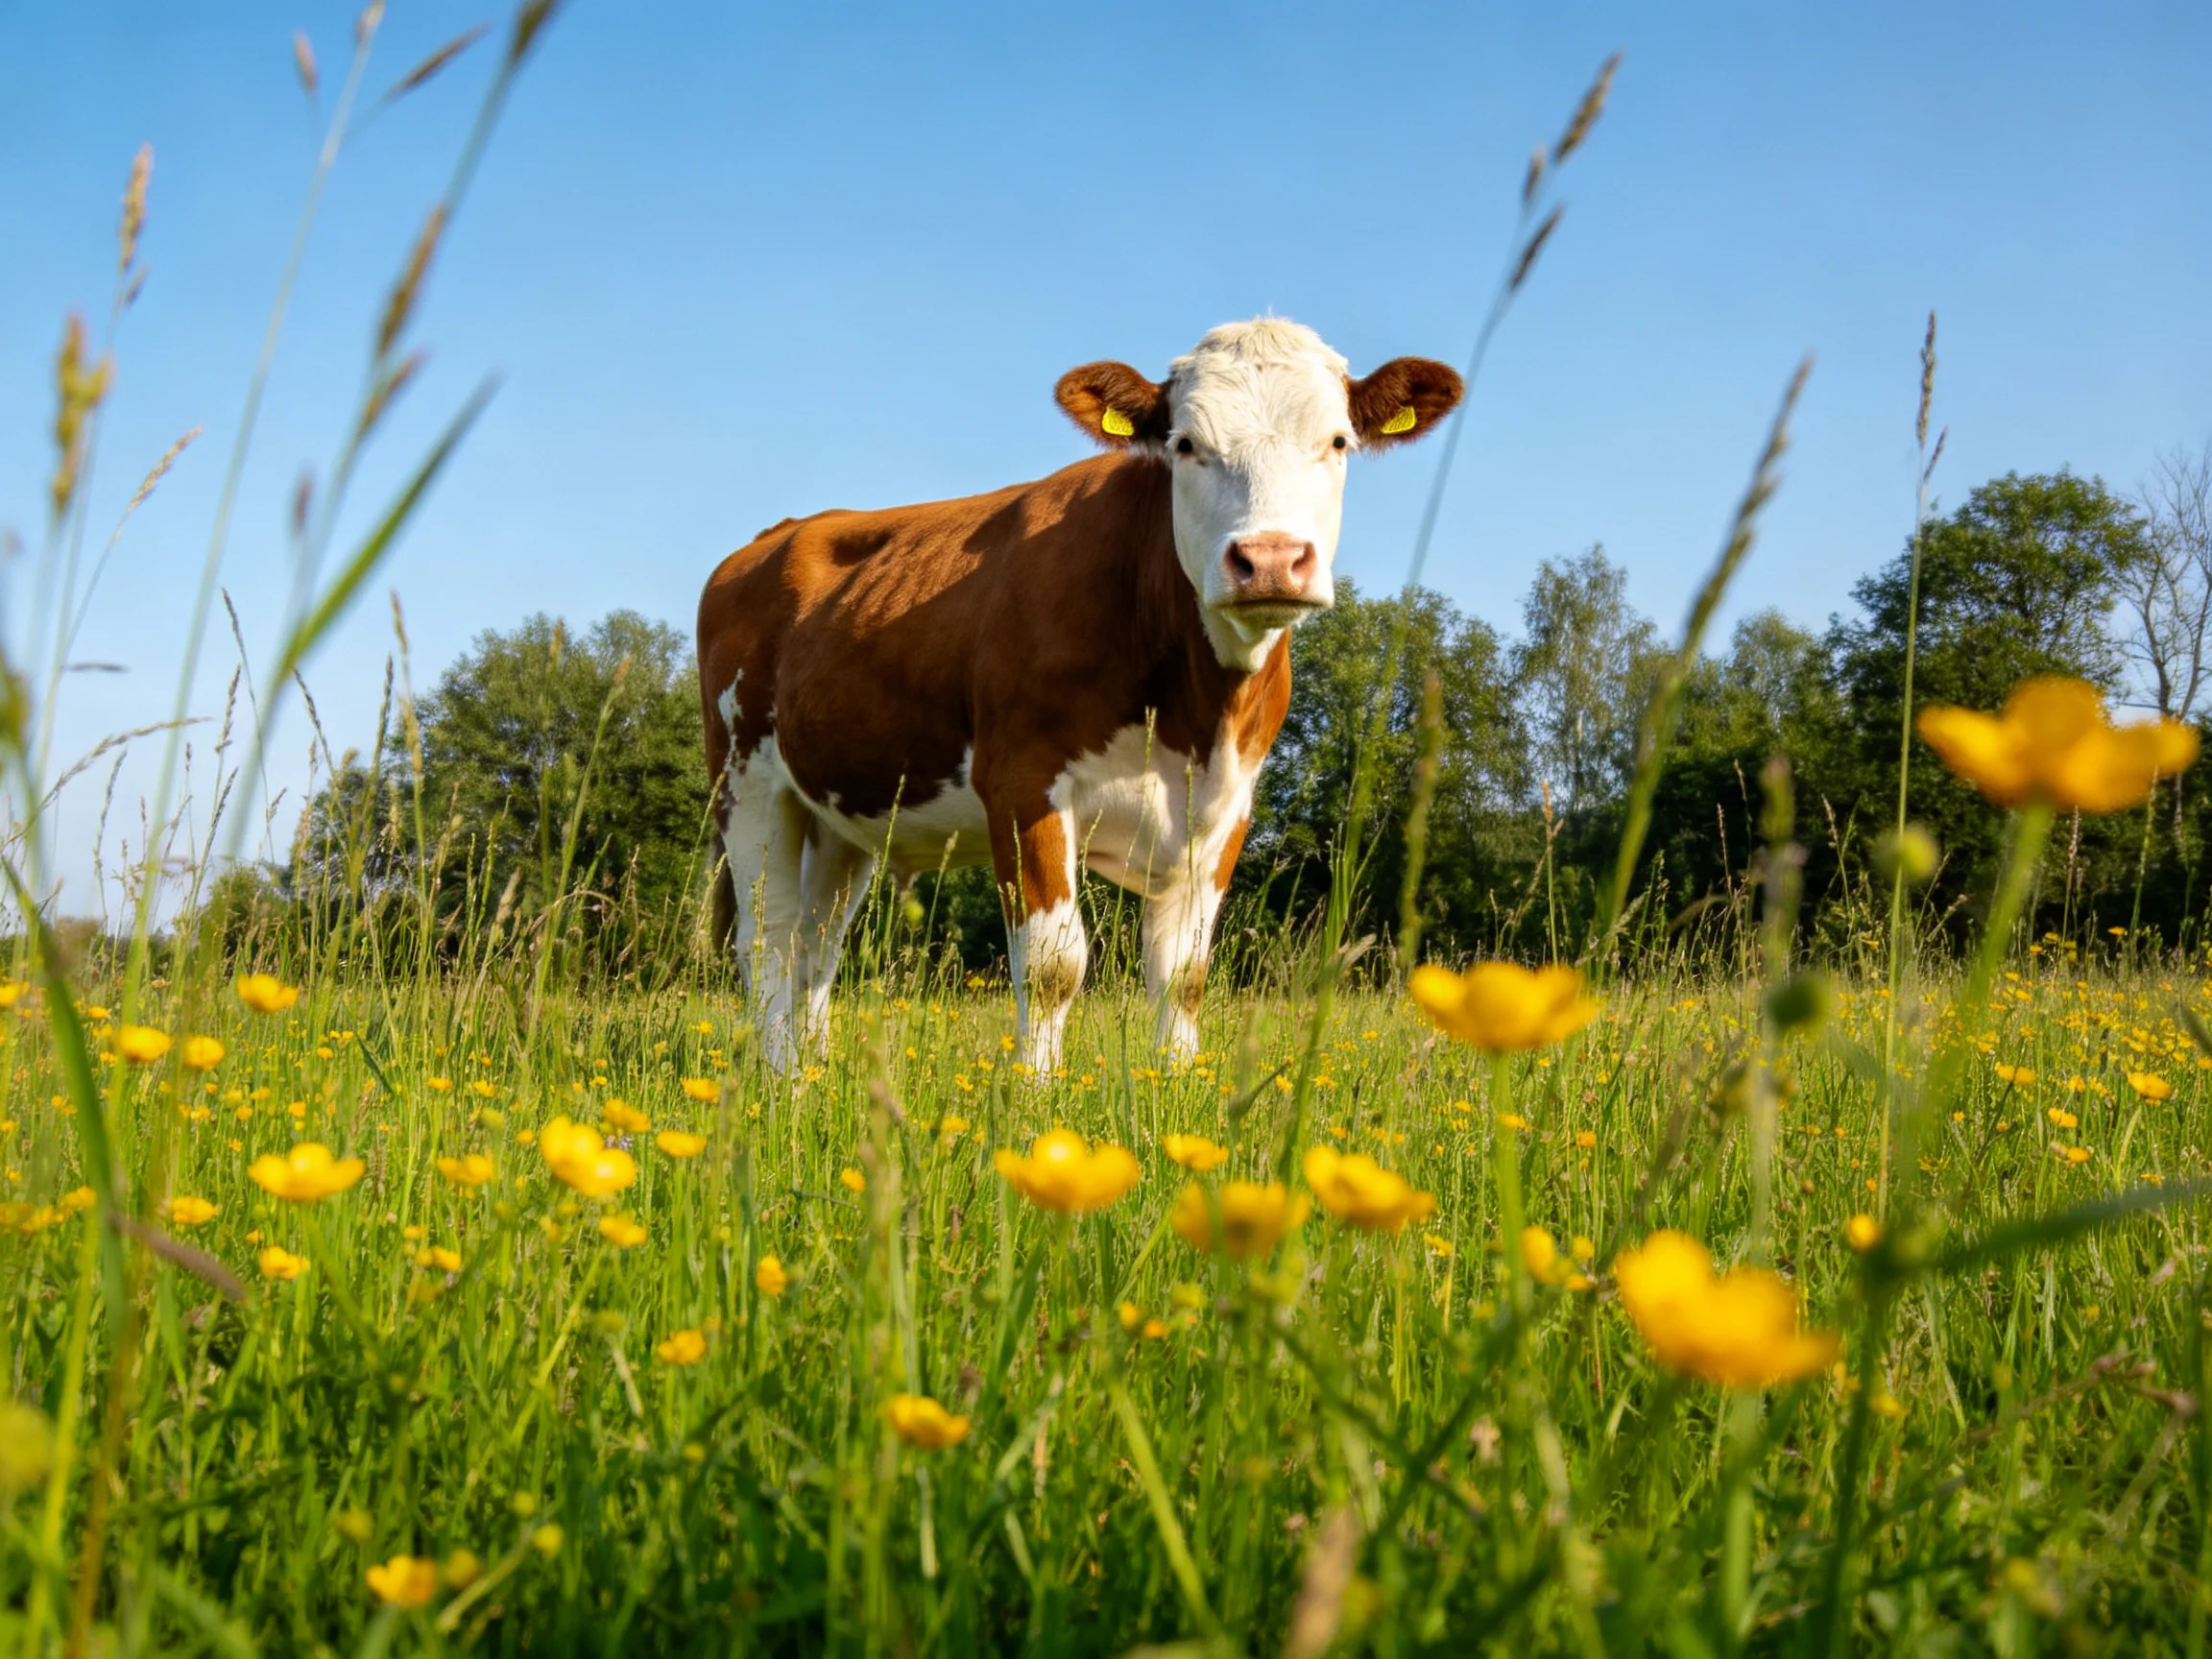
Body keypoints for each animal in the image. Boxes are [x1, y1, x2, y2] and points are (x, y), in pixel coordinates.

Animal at [698, 318, 1463, 1074]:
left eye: (1337, 442)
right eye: (1186, 444)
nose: (1270, 559)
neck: (1191, 714)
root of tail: (778, 536)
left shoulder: (1227, 806)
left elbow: (1184, 976)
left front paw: (1175, 1088)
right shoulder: (1021, 782)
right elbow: (1052, 965)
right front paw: (1036, 1096)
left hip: (840, 812)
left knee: (816, 944)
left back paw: (813, 1074)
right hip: (747, 781)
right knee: (768, 938)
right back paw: (779, 1079)